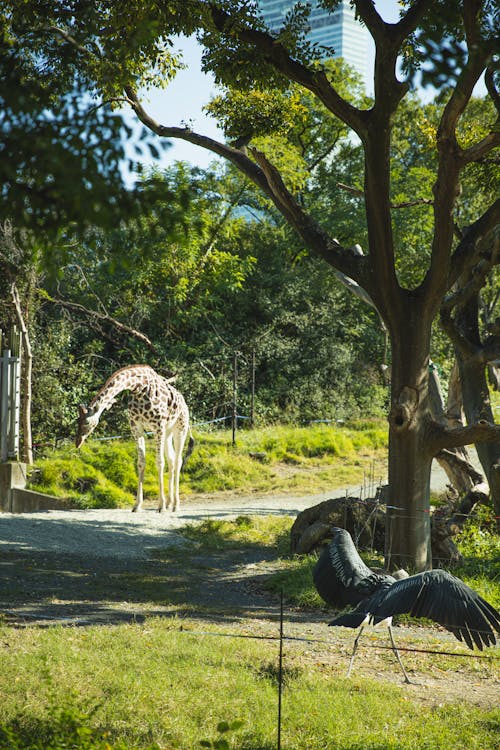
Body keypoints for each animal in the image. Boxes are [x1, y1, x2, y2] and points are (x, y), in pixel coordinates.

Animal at [75, 368, 194, 516]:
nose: (78, 442)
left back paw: (176, 505)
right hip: (168, 432)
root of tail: (184, 402)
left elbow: (159, 462)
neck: (139, 387)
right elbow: (141, 462)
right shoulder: (136, 428)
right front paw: (137, 505)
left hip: (180, 428)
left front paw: (160, 506)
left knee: (178, 461)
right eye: (77, 421)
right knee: (172, 459)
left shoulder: (158, 427)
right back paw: (170, 503)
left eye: (86, 422)